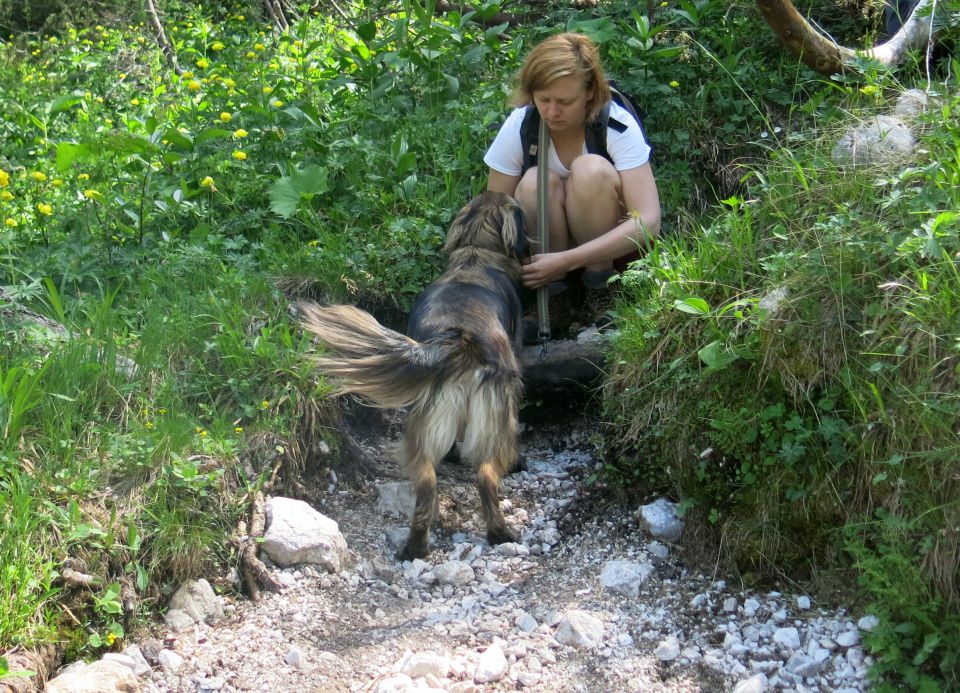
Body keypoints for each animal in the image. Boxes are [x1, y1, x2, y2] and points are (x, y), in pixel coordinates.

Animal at [298, 192, 528, 560]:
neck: (475, 253)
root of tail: (460, 341)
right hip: (497, 425)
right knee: (486, 478)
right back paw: (501, 533)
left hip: (424, 426)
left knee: (428, 485)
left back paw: (416, 546)